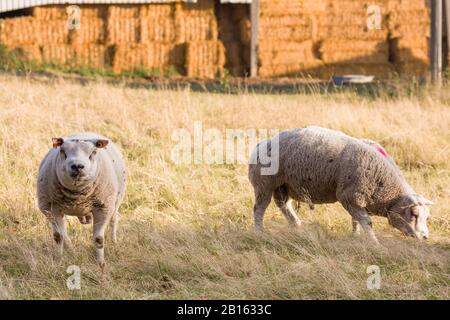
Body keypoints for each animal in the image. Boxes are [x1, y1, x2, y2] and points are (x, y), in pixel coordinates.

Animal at [37, 132, 126, 268]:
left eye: (93, 152)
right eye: (62, 151)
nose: (77, 166)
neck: (77, 195)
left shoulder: (104, 208)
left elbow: (99, 239)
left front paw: (101, 264)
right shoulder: (50, 208)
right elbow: (58, 236)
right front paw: (58, 261)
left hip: (115, 201)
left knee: (114, 219)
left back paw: (114, 242)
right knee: (64, 233)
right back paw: (71, 249)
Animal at [250, 125, 432, 242]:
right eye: (414, 215)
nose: (425, 237)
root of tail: (261, 144)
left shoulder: (356, 199)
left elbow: (356, 219)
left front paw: (355, 235)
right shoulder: (349, 196)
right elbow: (367, 222)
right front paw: (374, 243)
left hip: (282, 185)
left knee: (284, 205)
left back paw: (297, 226)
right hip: (264, 184)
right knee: (259, 209)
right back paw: (259, 232)